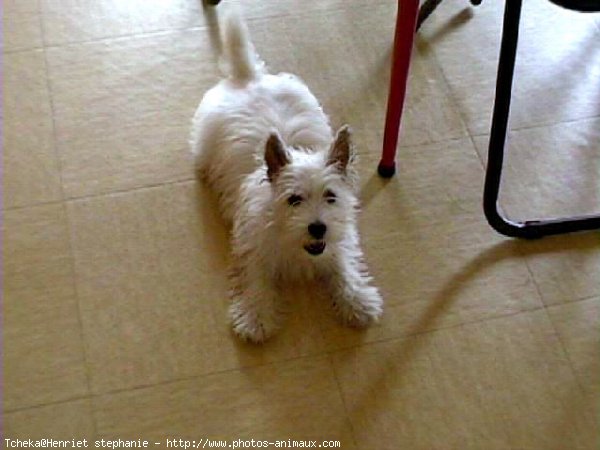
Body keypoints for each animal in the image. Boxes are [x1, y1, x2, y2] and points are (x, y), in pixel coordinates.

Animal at [190, 12, 382, 342]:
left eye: (331, 196)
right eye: (294, 199)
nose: (318, 228)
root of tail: (249, 78)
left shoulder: (338, 241)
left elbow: (344, 268)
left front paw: (357, 301)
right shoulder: (252, 246)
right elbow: (255, 280)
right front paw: (256, 317)